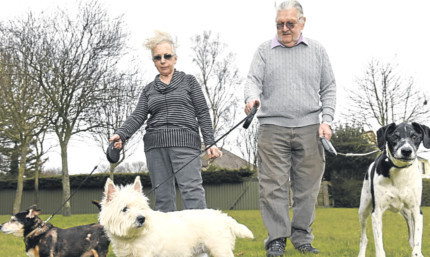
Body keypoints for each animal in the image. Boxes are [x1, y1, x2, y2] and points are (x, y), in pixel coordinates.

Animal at [356, 122, 430, 256]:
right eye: (395, 136)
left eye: (415, 136)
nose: (406, 151)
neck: (400, 171)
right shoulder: (376, 212)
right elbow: (379, 247)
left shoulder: (417, 211)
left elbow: (416, 244)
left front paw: (417, 252)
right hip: (363, 210)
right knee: (363, 238)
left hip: (408, 214)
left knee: (412, 239)